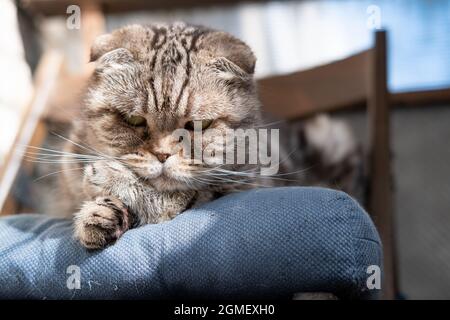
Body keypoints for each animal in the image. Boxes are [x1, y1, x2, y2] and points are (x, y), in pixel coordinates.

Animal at [59, 23, 362, 250]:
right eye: (134, 120)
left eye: (198, 125)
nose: (162, 155)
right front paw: (99, 215)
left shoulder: (244, 187)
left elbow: (182, 197)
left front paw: (111, 179)